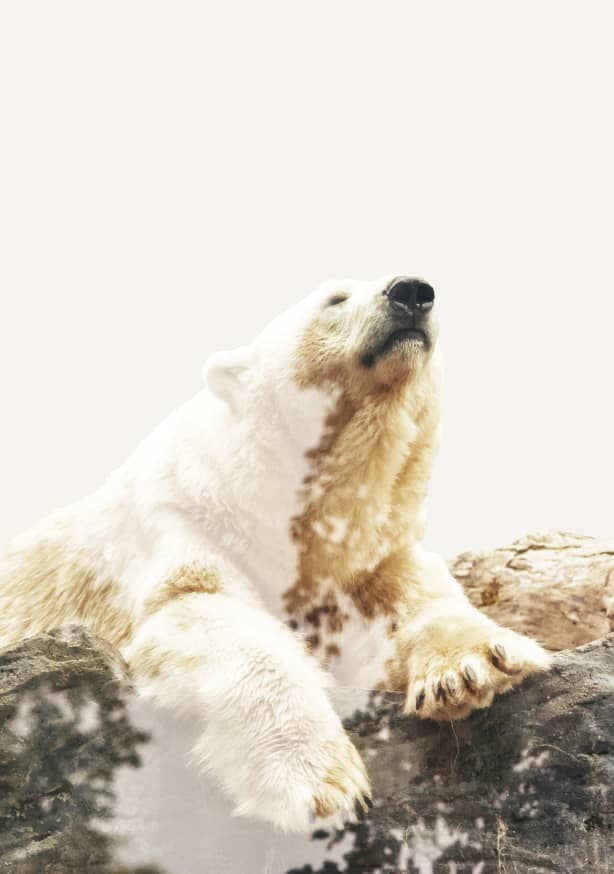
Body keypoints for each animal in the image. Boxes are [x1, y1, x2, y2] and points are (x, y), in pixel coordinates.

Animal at [0, 275, 550, 832]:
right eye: (335, 299)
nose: (411, 292)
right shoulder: (185, 517)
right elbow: (204, 608)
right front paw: (322, 784)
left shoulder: (367, 554)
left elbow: (415, 597)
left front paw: (475, 666)